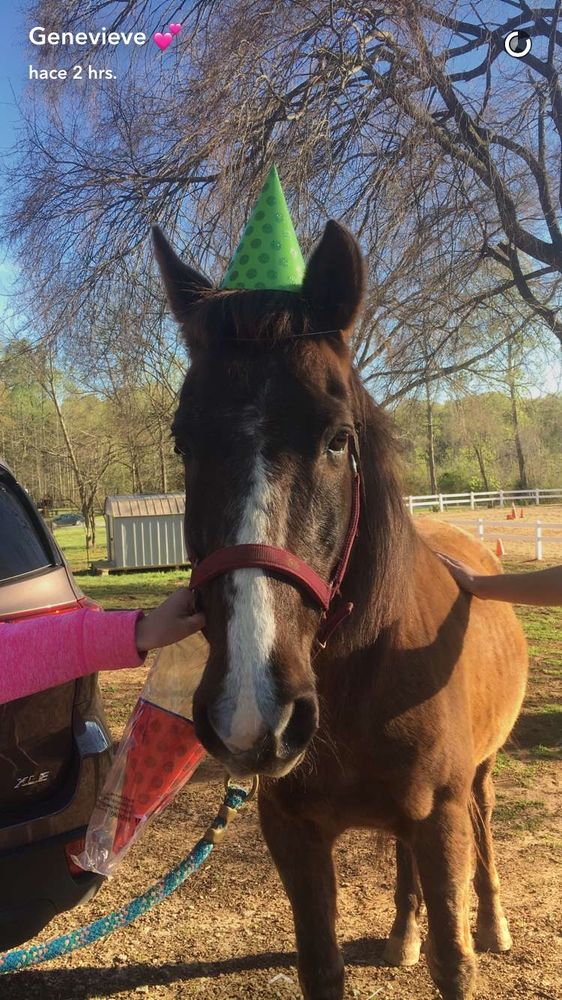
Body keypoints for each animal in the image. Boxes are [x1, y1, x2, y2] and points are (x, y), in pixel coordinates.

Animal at [153, 219, 528, 1000]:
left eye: (337, 439)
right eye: (183, 440)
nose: (249, 710)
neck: (366, 673)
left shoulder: (441, 818)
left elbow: (455, 962)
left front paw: (461, 939)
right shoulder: (293, 831)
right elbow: (322, 966)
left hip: (479, 778)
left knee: (484, 826)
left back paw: (493, 922)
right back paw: (402, 934)